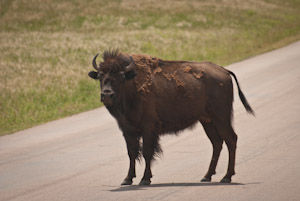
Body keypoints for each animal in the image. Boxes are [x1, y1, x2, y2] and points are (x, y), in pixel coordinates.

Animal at [88, 49, 254, 186]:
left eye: (121, 76)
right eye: (100, 76)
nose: (107, 95)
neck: (132, 86)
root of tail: (224, 71)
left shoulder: (148, 129)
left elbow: (147, 152)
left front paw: (145, 179)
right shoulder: (128, 130)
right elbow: (132, 153)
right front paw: (127, 180)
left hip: (221, 118)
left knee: (231, 139)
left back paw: (226, 177)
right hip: (207, 121)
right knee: (217, 143)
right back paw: (207, 176)